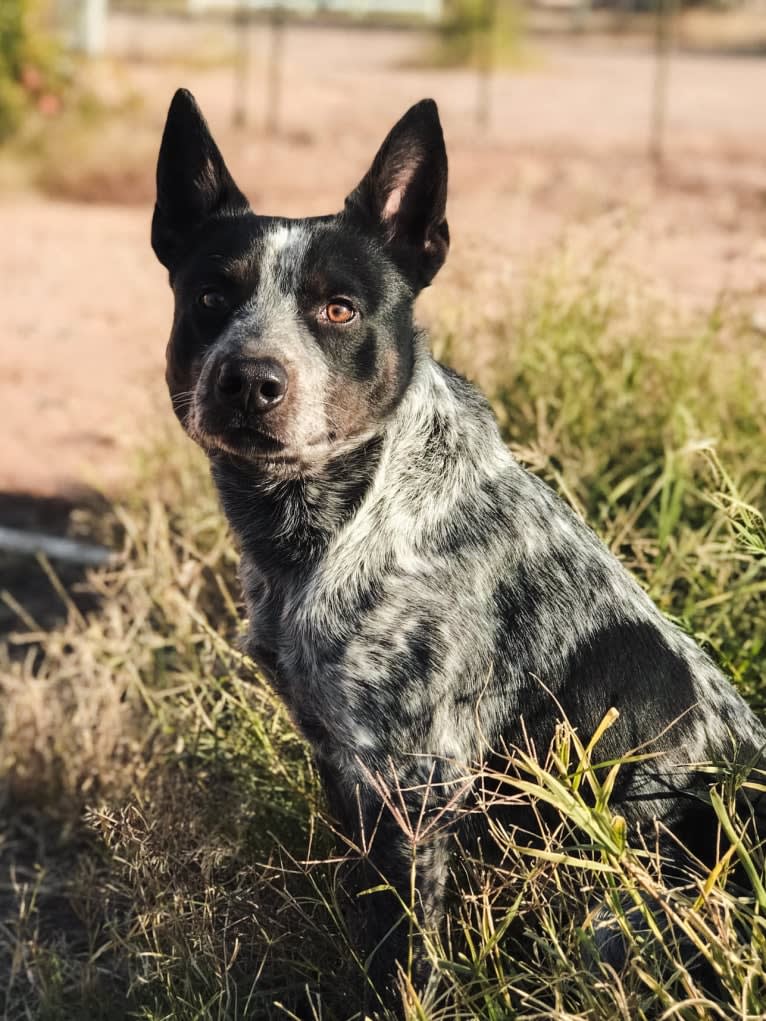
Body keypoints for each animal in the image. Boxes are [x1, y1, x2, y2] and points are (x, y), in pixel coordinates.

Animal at [154, 91, 766, 1016]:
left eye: (339, 308)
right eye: (210, 296)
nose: (250, 380)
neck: (337, 521)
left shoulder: (416, 782)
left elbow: (406, 956)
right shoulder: (343, 762)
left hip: (619, 910)